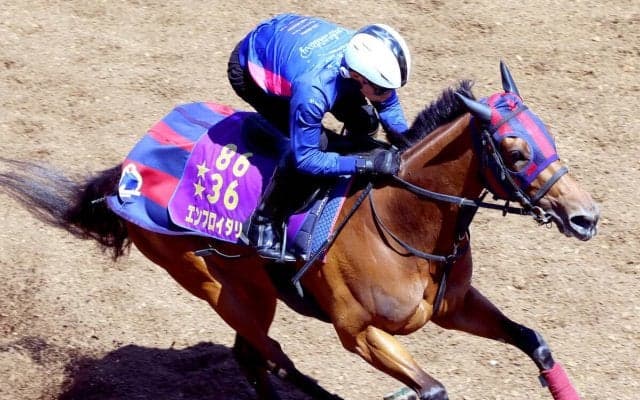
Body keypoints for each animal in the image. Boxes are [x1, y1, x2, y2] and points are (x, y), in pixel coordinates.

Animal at [0, 62, 599, 400]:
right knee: (275, 360)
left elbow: (536, 343)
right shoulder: (357, 332)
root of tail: (128, 167)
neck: (405, 221)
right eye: (515, 150)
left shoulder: (454, 306)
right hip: (219, 287)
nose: (585, 217)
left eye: (547, 134)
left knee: (253, 358)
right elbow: (432, 389)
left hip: (251, 290)